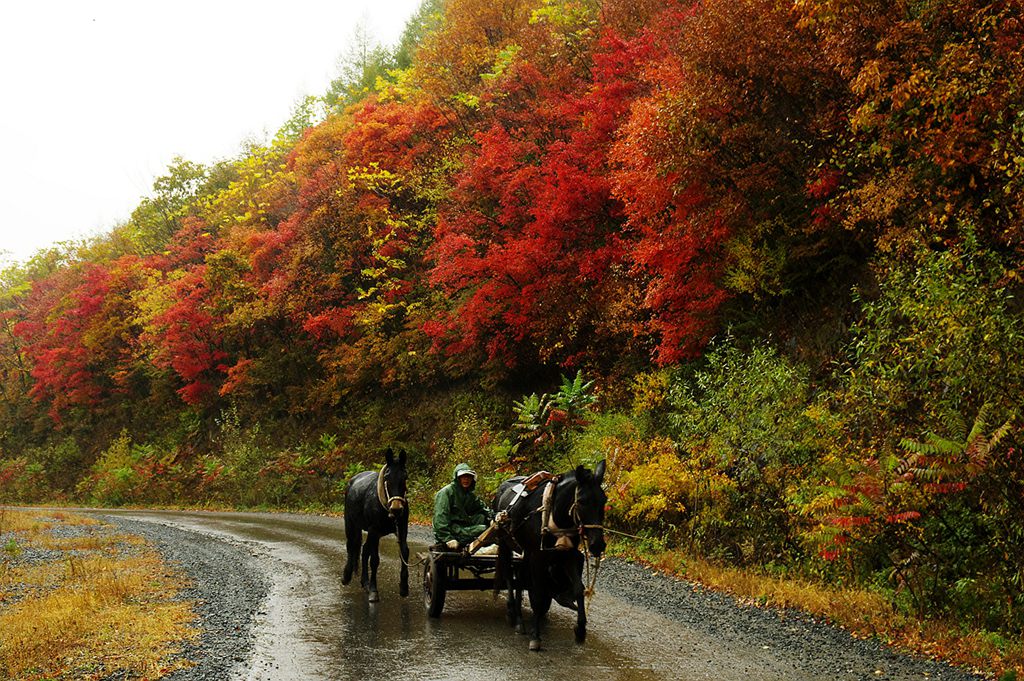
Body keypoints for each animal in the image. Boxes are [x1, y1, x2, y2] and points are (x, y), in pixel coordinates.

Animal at [342, 446, 409, 602]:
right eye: (387, 477)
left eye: (405, 477)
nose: (396, 509)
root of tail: (353, 480)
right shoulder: (373, 530)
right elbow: (375, 560)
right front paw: (373, 591)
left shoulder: (402, 529)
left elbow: (404, 553)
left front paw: (404, 587)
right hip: (351, 525)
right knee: (351, 546)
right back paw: (347, 576)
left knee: (365, 549)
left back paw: (365, 582)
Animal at [491, 458, 602, 651]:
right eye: (582, 501)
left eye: (604, 499)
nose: (598, 544)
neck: (553, 513)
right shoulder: (538, 557)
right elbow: (538, 593)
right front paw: (536, 636)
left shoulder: (567, 555)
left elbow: (578, 589)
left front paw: (580, 630)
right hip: (506, 544)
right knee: (509, 575)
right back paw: (512, 612)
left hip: (525, 552)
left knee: (520, 579)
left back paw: (520, 620)